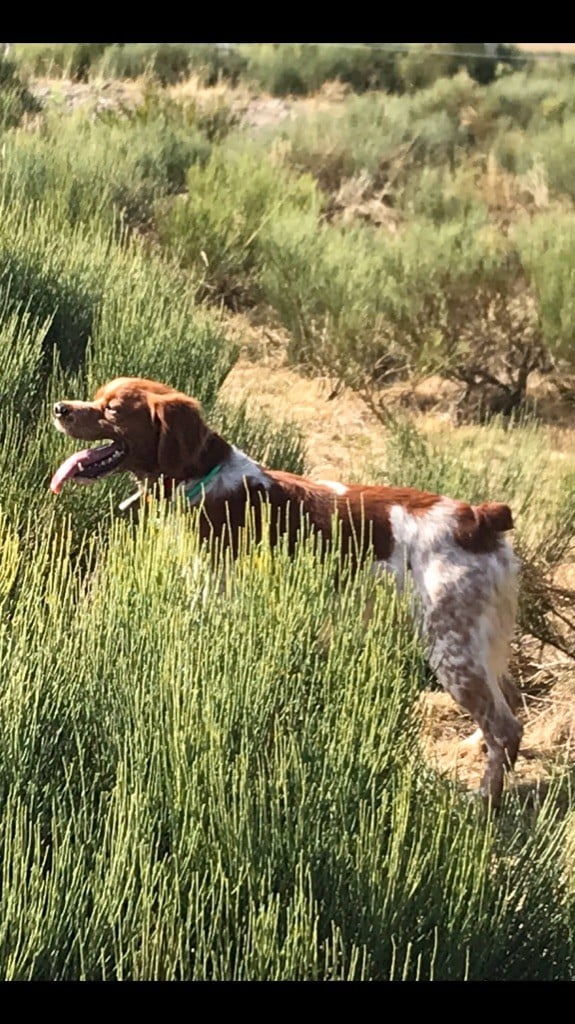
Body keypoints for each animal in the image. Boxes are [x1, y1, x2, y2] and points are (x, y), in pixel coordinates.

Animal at [52, 376, 519, 798]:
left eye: (113, 409)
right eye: (96, 396)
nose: (60, 408)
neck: (200, 479)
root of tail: (479, 518)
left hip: (451, 648)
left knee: (505, 729)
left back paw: (483, 804)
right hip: (480, 646)